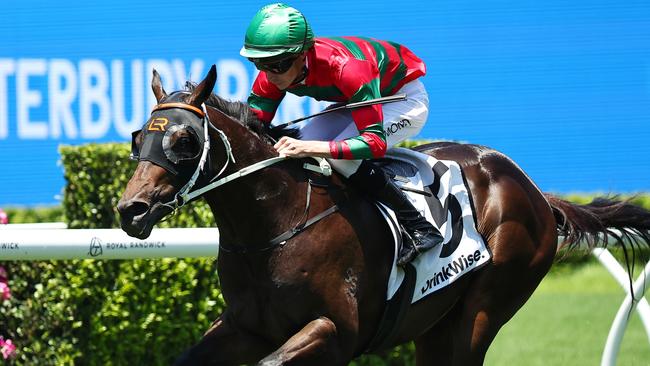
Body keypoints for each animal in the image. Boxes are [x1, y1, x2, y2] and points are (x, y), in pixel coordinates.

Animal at [116, 64, 648, 364]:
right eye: (139, 137)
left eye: (184, 140)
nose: (131, 210)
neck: (276, 224)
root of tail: (536, 192)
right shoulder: (246, 328)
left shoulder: (334, 331)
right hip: (433, 326)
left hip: (485, 308)